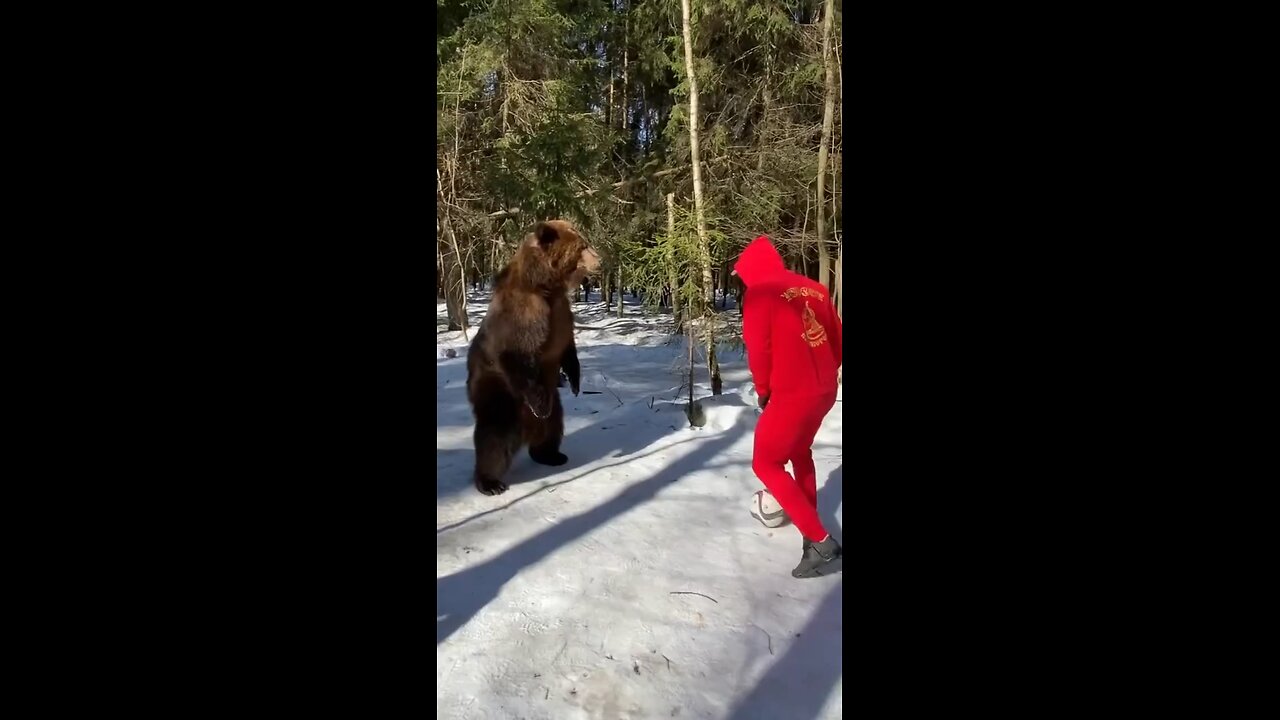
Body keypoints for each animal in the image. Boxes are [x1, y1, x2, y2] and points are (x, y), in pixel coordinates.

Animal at [465, 219, 599, 491]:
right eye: (583, 246)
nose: (599, 259)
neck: (547, 287)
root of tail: (526, 429)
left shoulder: (561, 313)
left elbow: (568, 347)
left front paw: (575, 381)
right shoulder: (524, 314)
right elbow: (517, 352)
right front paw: (539, 401)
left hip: (552, 406)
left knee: (553, 425)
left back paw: (550, 454)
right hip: (497, 389)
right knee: (494, 434)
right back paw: (490, 482)